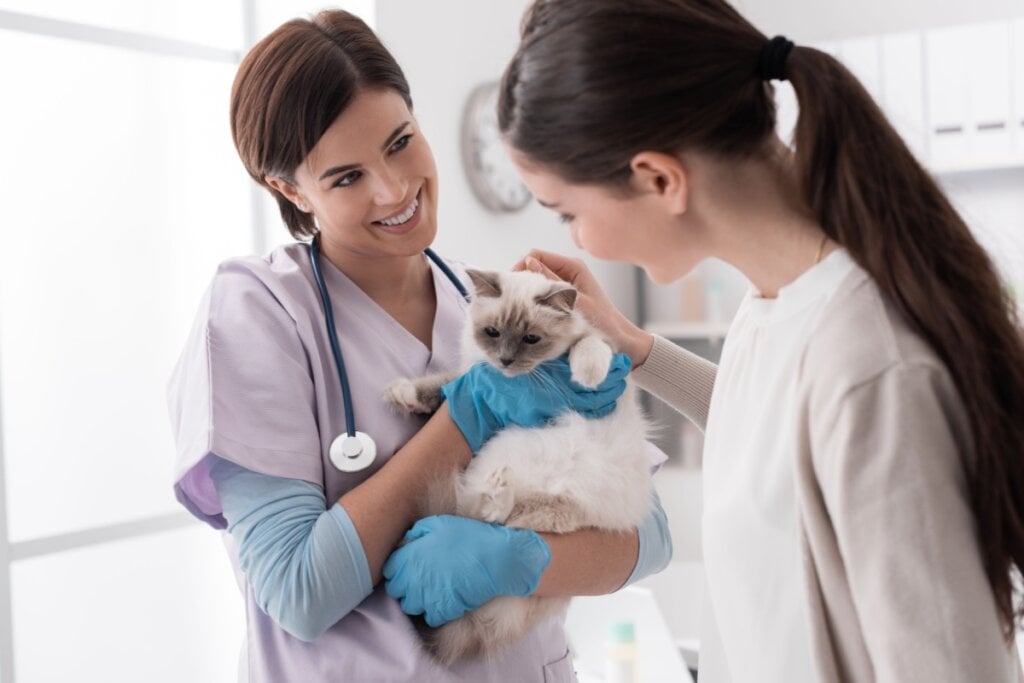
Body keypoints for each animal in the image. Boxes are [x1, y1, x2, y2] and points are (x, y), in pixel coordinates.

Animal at [380, 270, 651, 663]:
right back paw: (495, 494)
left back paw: (496, 499)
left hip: (566, 503)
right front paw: (402, 395)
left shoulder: (603, 343)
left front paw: (587, 378)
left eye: (531, 338)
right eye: (492, 332)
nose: (506, 361)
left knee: (504, 523)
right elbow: (442, 387)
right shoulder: (470, 374)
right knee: (488, 518)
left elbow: (589, 345)